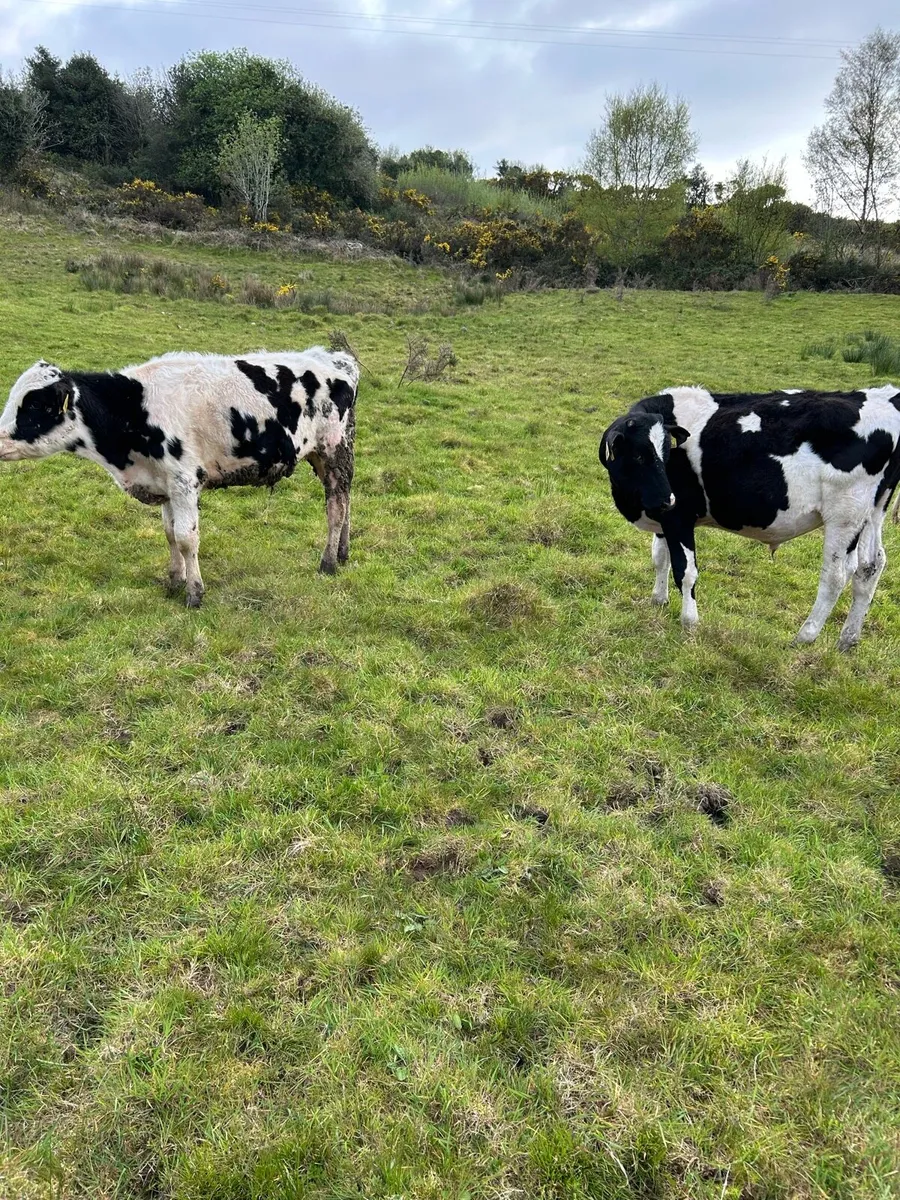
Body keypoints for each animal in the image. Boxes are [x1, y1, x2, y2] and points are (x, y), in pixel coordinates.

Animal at [0, 347, 359, 607]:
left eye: (35, 406)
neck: (134, 409)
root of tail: (334, 357)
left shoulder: (184, 482)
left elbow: (187, 538)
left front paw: (194, 592)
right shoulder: (165, 484)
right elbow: (170, 534)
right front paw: (174, 581)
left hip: (333, 450)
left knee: (336, 507)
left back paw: (328, 562)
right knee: (347, 500)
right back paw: (343, 553)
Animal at [599, 385, 900, 650]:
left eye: (664, 453)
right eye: (640, 456)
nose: (666, 499)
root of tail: (885, 395)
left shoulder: (679, 517)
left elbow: (685, 571)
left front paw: (689, 622)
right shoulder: (663, 519)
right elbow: (659, 558)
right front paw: (658, 601)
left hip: (846, 513)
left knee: (837, 575)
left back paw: (805, 637)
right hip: (873, 511)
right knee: (871, 566)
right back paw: (848, 640)